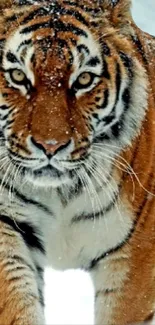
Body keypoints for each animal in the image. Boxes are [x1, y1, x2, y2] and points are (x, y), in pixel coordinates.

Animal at [0, 0, 154, 322]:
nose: (50, 146)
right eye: (18, 76)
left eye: (83, 80)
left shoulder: (136, 257)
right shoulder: (6, 225)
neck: (61, 193)